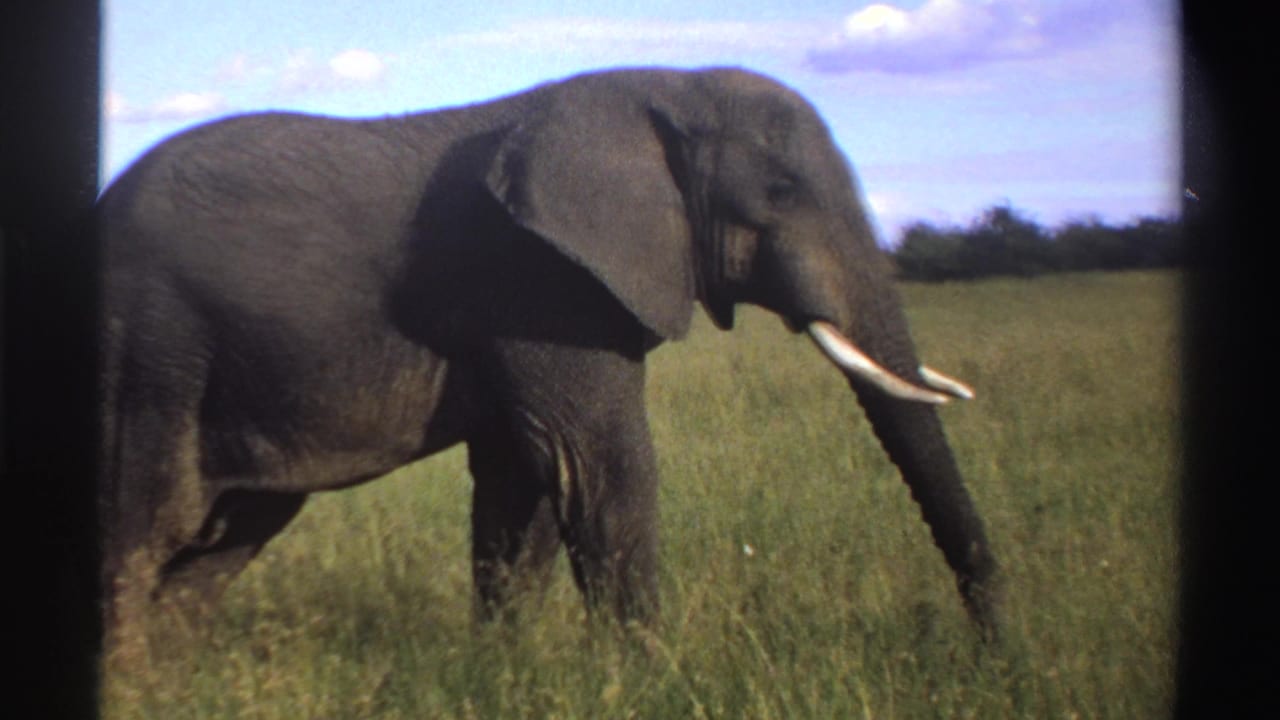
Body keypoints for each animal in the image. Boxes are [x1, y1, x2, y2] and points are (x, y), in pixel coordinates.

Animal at [96, 66, 1000, 660]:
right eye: (780, 193)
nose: (992, 653)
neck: (663, 88)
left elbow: (523, 484)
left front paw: (504, 676)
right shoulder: (540, 278)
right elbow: (598, 463)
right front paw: (649, 681)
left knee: (223, 537)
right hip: (149, 350)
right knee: (144, 520)